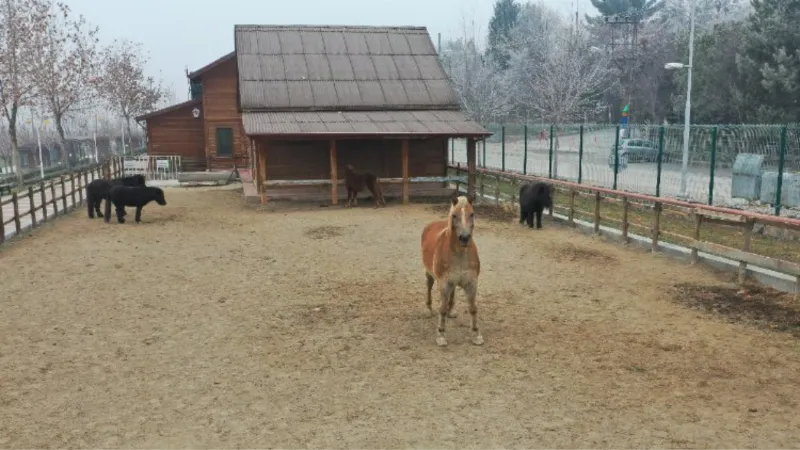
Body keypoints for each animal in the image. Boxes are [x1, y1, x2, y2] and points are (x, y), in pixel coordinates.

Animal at [422, 193, 484, 348]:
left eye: (472, 214)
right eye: (454, 215)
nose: (464, 238)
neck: (460, 253)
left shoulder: (471, 283)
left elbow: (473, 308)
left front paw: (476, 334)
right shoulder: (444, 284)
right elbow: (442, 309)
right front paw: (441, 335)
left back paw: (451, 311)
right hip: (430, 275)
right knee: (428, 287)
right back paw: (428, 310)